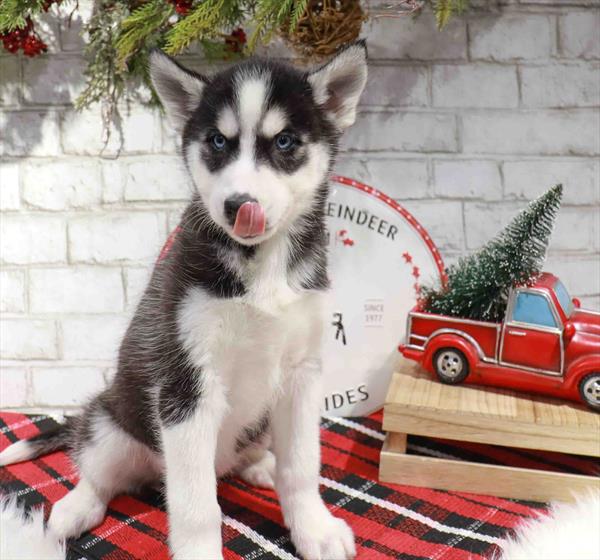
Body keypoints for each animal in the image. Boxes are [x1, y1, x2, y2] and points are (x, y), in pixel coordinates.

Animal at [0, 41, 368, 556]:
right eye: (217, 141)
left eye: (284, 142)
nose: (238, 206)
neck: (262, 265)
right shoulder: (186, 384)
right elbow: (196, 505)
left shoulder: (301, 375)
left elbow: (301, 466)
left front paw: (314, 529)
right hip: (111, 424)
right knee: (98, 471)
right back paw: (75, 508)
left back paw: (259, 465)